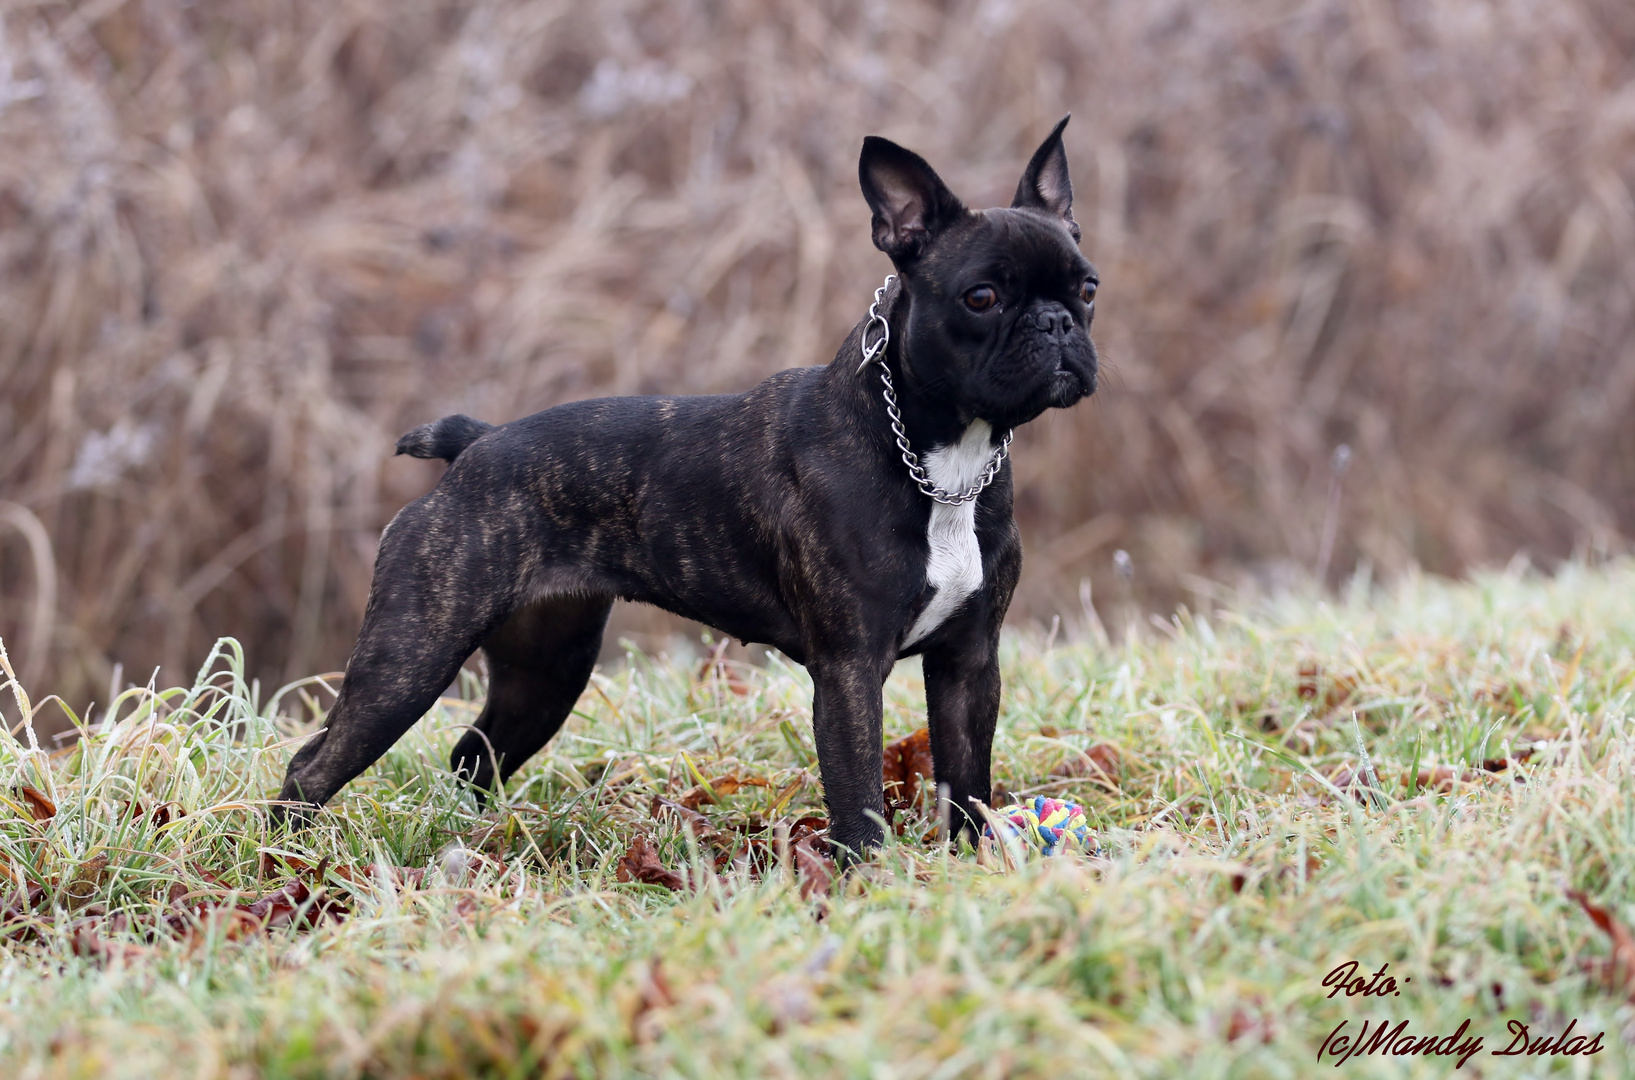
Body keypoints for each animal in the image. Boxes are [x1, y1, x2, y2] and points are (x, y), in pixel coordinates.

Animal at [277, 117, 1098, 856]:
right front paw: (868, 881)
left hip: (546, 669)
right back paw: (288, 856)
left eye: (1087, 287)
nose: (1058, 322)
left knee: (474, 753)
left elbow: (967, 781)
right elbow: (858, 794)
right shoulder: (849, 668)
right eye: (981, 297)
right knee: (315, 762)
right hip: (413, 654)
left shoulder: (968, 662)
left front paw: (973, 866)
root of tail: (474, 444)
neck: (943, 461)